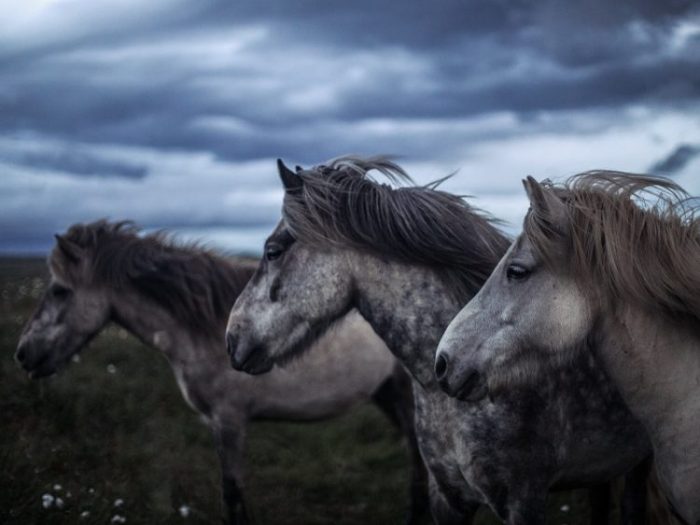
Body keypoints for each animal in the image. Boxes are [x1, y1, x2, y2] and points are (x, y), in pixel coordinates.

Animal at [15, 220, 429, 525]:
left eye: (60, 291)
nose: (22, 354)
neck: (202, 326)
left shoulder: (228, 421)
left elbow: (232, 494)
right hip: (387, 393)